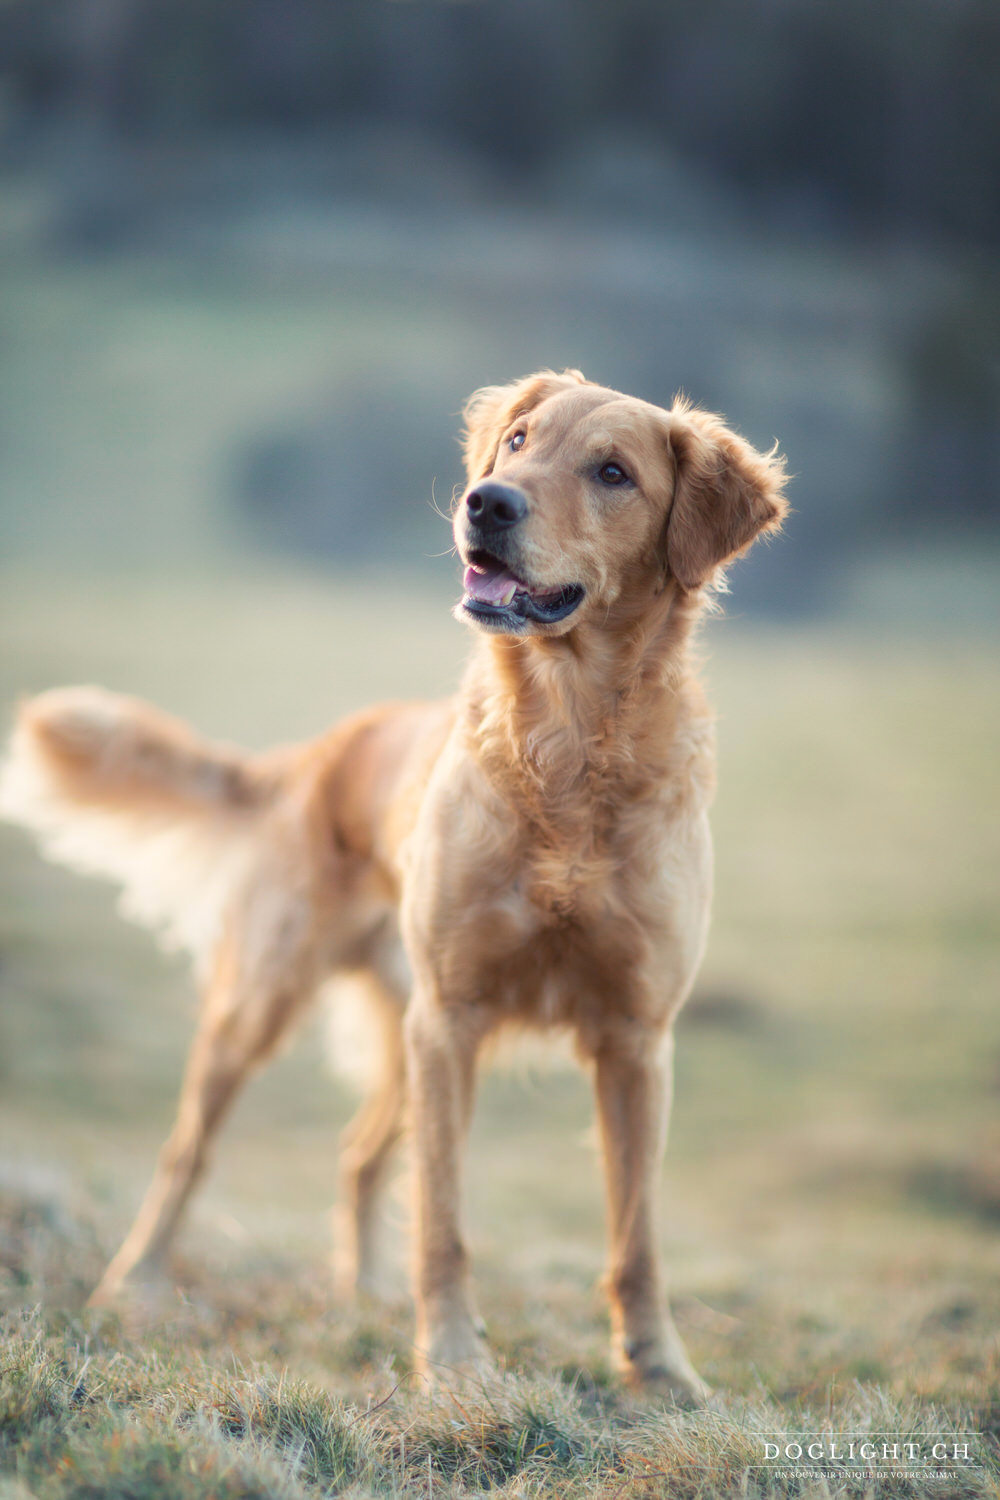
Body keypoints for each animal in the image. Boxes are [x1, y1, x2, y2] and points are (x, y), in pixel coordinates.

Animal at [1, 369, 791, 1398]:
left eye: (614, 472)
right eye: (519, 441)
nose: (487, 503)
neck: (569, 744)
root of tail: (324, 748)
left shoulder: (635, 1041)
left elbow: (638, 1236)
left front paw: (660, 1372)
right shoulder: (452, 1018)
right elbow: (444, 1220)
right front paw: (452, 1362)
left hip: (404, 1038)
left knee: (358, 1156)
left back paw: (365, 1294)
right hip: (268, 1006)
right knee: (188, 1154)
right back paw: (134, 1283)